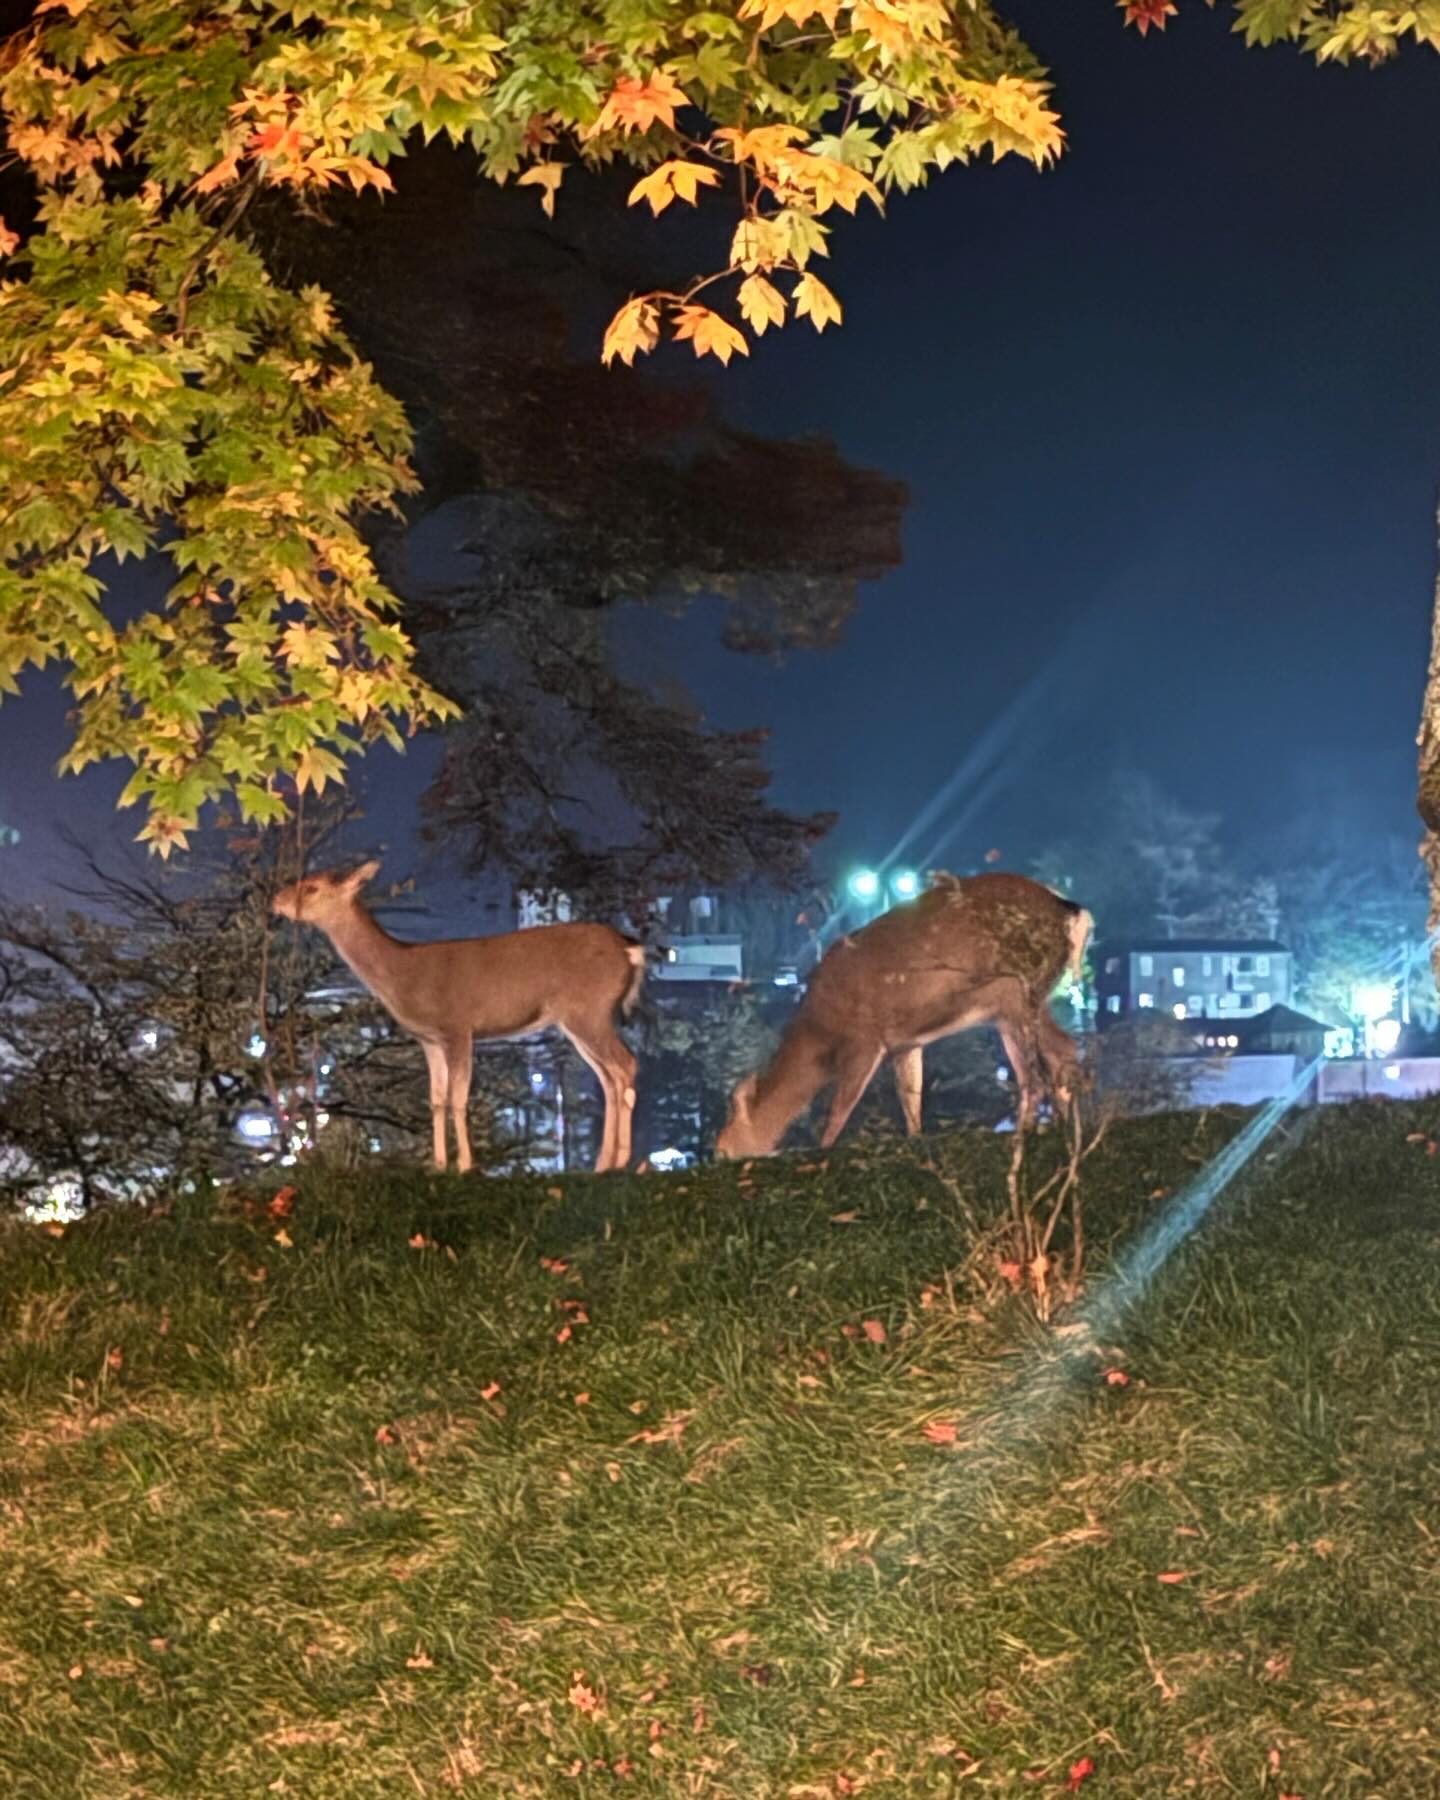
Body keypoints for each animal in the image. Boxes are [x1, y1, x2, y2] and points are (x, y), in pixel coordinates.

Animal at [268, 860, 648, 1173]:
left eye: (313, 887)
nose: (276, 899)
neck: (402, 974)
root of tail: (630, 950)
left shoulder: (457, 1025)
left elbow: (458, 1097)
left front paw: (466, 1165)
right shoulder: (429, 1039)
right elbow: (436, 1100)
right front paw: (438, 1165)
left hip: (589, 1009)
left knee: (626, 1065)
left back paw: (622, 1161)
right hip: (578, 1019)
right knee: (609, 1078)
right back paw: (604, 1163)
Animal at [720, 867, 1094, 1152]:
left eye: (730, 1124)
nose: (719, 1152)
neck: (821, 1032)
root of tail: (1071, 910)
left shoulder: (865, 1039)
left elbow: (842, 1106)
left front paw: (823, 1151)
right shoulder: (905, 1042)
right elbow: (910, 1097)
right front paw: (915, 1141)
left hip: (1018, 993)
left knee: (1034, 1076)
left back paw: (1026, 1134)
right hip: (1024, 1002)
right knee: (1063, 1050)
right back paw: (1067, 1131)